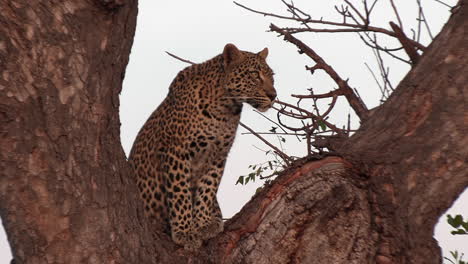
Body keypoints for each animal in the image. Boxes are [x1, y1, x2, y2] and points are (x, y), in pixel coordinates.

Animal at [126, 43, 276, 250]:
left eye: (272, 76)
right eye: (254, 74)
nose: (273, 96)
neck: (223, 108)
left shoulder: (218, 154)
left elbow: (208, 187)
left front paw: (204, 224)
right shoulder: (178, 151)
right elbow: (180, 192)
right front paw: (185, 232)